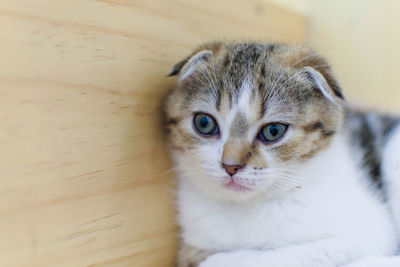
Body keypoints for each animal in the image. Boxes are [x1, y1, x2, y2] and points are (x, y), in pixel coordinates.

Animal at [164, 42, 400, 267]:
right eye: (204, 123)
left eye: (273, 131)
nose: (230, 166)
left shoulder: (370, 233)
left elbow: (308, 252)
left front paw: (217, 261)